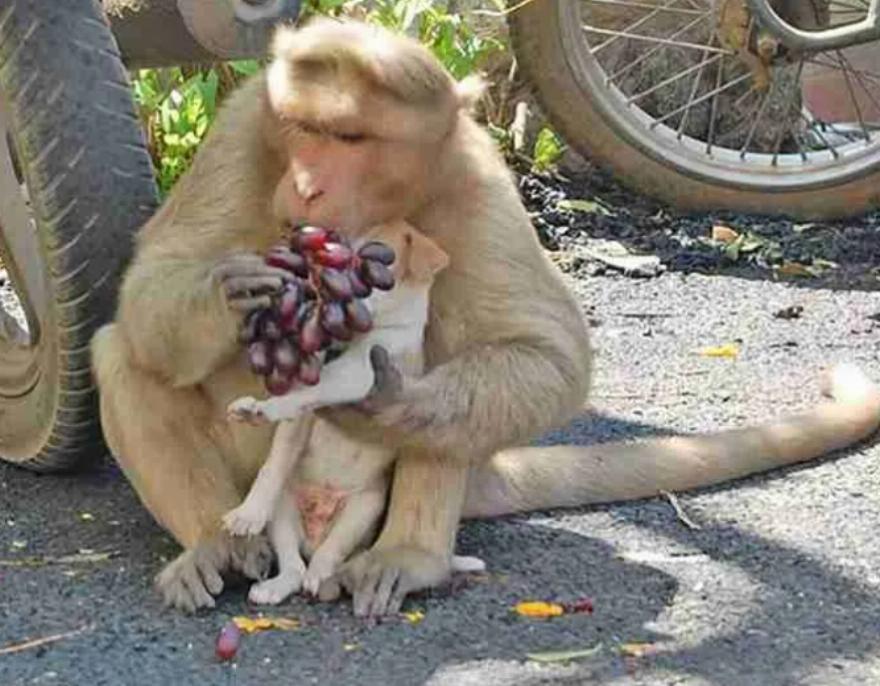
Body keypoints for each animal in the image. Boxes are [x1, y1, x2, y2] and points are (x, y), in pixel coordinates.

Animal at [91, 17, 880, 617]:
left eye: (348, 139)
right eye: (301, 128)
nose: (306, 185)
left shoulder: (471, 177)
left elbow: (541, 352)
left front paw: (382, 405)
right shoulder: (243, 130)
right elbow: (154, 280)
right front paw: (238, 289)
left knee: (459, 384)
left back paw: (405, 556)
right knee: (124, 353)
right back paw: (214, 546)